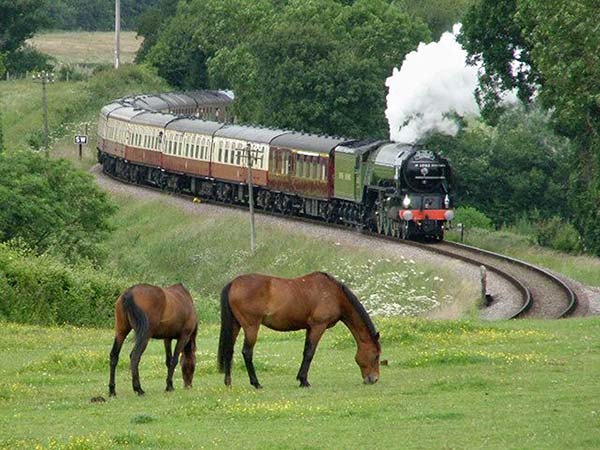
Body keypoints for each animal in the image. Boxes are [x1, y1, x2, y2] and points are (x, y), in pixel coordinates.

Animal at [219, 272, 380, 388]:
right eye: (376, 355)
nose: (374, 379)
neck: (334, 295)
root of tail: (233, 283)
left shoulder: (310, 328)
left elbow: (305, 352)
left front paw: (301, 378)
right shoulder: (318, 326)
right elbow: (309, 353)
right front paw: (304, 381)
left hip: (236, 325)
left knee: (229, 350)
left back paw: (228, 382)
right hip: (251, 327)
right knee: (247, 352)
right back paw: (256, 383)